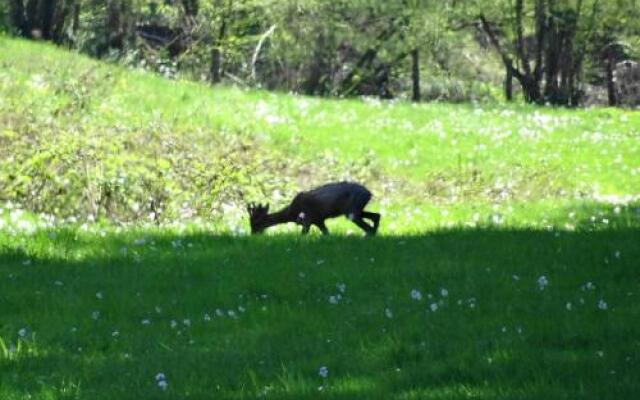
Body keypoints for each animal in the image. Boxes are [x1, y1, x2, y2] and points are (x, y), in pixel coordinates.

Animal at [246, 181, 380, 234]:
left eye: (256, 222)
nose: (253, 234)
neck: (291, 213)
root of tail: (369, 193)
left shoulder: (308, 220)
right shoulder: (319, 221)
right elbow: (327, 233)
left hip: (352, 211)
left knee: (368, 227)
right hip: (356, 210)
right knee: (376, 216)